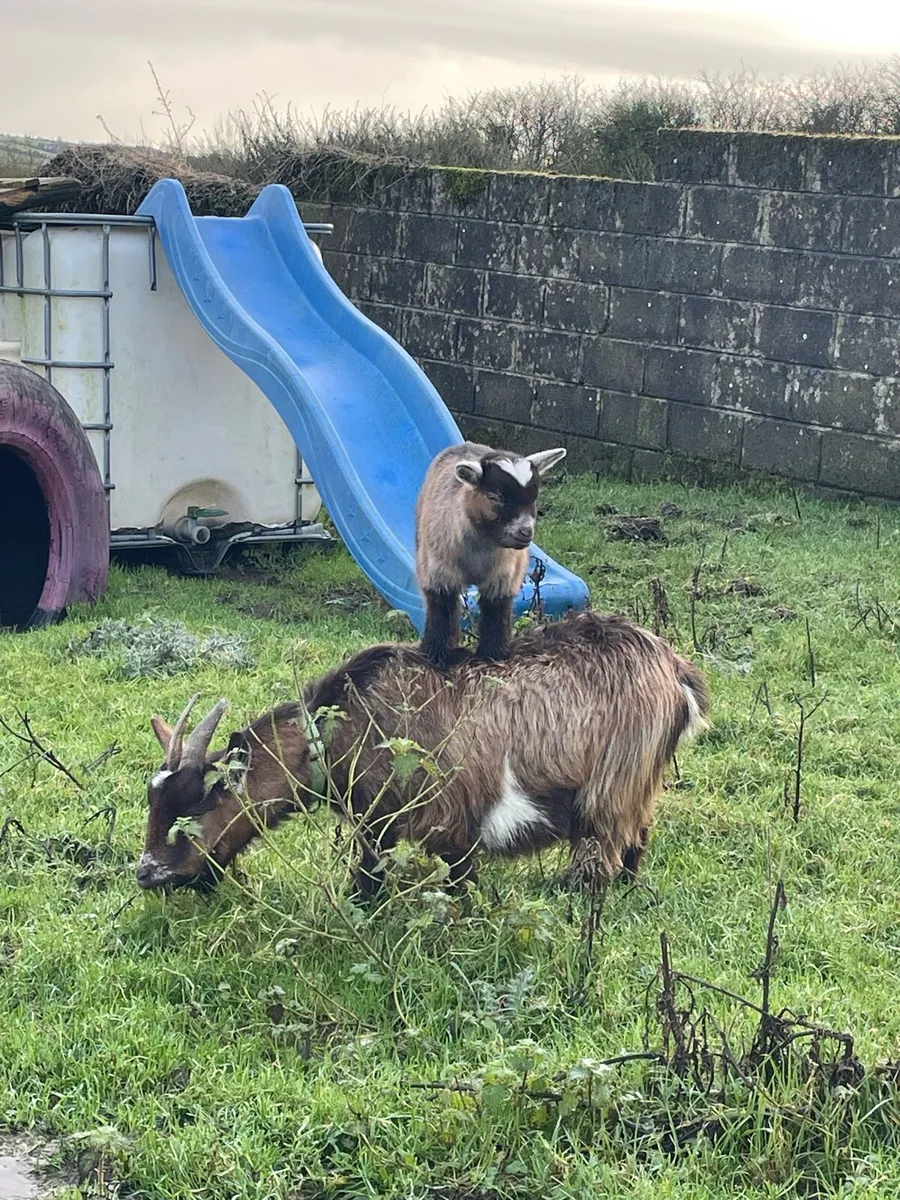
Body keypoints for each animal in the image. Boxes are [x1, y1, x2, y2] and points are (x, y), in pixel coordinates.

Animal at [136, 611, 708, 898]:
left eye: (195, 805)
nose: (147, 874)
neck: (347, 723)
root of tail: (676, 671)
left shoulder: (434, 820)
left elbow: (392, 883)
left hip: (611, 786)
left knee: (605, 854)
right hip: (640, 786)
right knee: (638, 839)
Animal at [415, 441, 566, 668]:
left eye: (534, 497)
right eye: (496, 497)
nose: (525, 532)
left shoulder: (503, 579)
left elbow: (496, 614)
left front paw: (493, 655)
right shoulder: (438, 574)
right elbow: (442, 611)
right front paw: (437, 655)